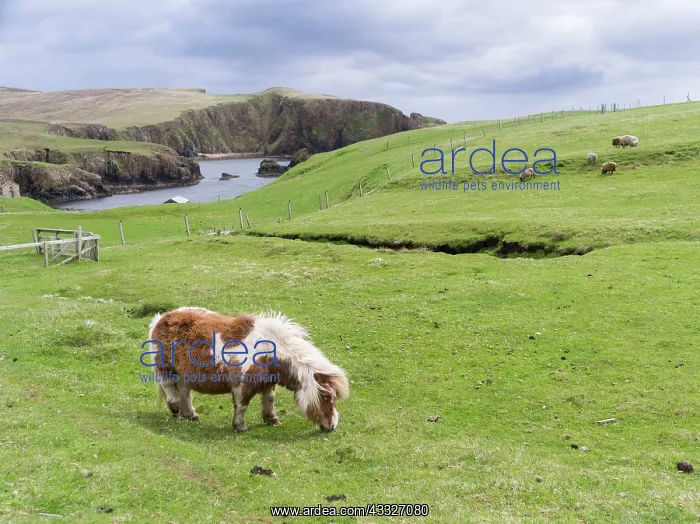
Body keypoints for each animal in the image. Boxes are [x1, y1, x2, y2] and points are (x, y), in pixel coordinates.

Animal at [145, 307, 349, 432]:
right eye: (326, 397)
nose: (332, 426)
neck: (268, 352)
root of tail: (161, 318)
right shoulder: (242, 385)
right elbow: (242, 405)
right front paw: (240, 426)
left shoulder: (268, 383)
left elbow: (269, 400)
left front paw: (272, 419)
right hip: (164, 367)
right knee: (169, 387)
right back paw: (174, 406)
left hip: (184, 374)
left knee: (185, 393)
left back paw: (191, 415)